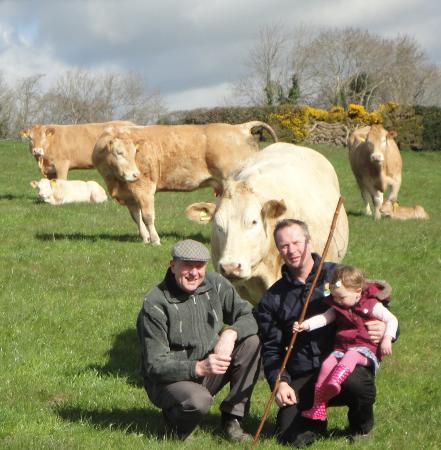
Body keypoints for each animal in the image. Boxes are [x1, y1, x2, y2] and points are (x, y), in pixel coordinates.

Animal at [92, 120, 276, 246]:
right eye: (119, 152)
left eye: (134, 152)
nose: (134, 174)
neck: (115, 180)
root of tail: (240, 127)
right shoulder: (129, 195)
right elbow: (136, 218)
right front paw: (145, 238)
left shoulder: (143, 189)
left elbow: (148, 216)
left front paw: (155, 240)